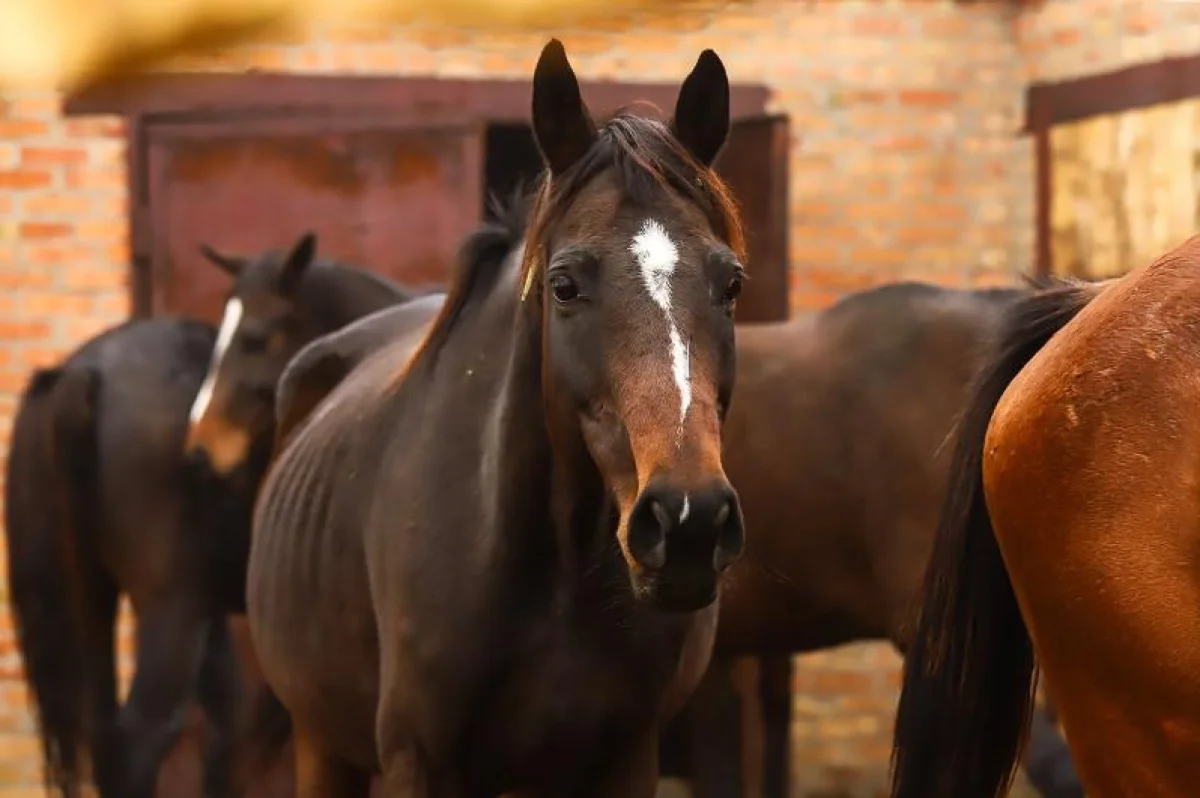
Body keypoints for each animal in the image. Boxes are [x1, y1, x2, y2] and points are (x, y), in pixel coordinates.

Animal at [243, 40, 748, 796]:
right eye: (564, 285)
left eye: (731, 283)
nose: (690, 520)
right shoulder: (418, 762)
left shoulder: (627, 758)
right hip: (322, 745)